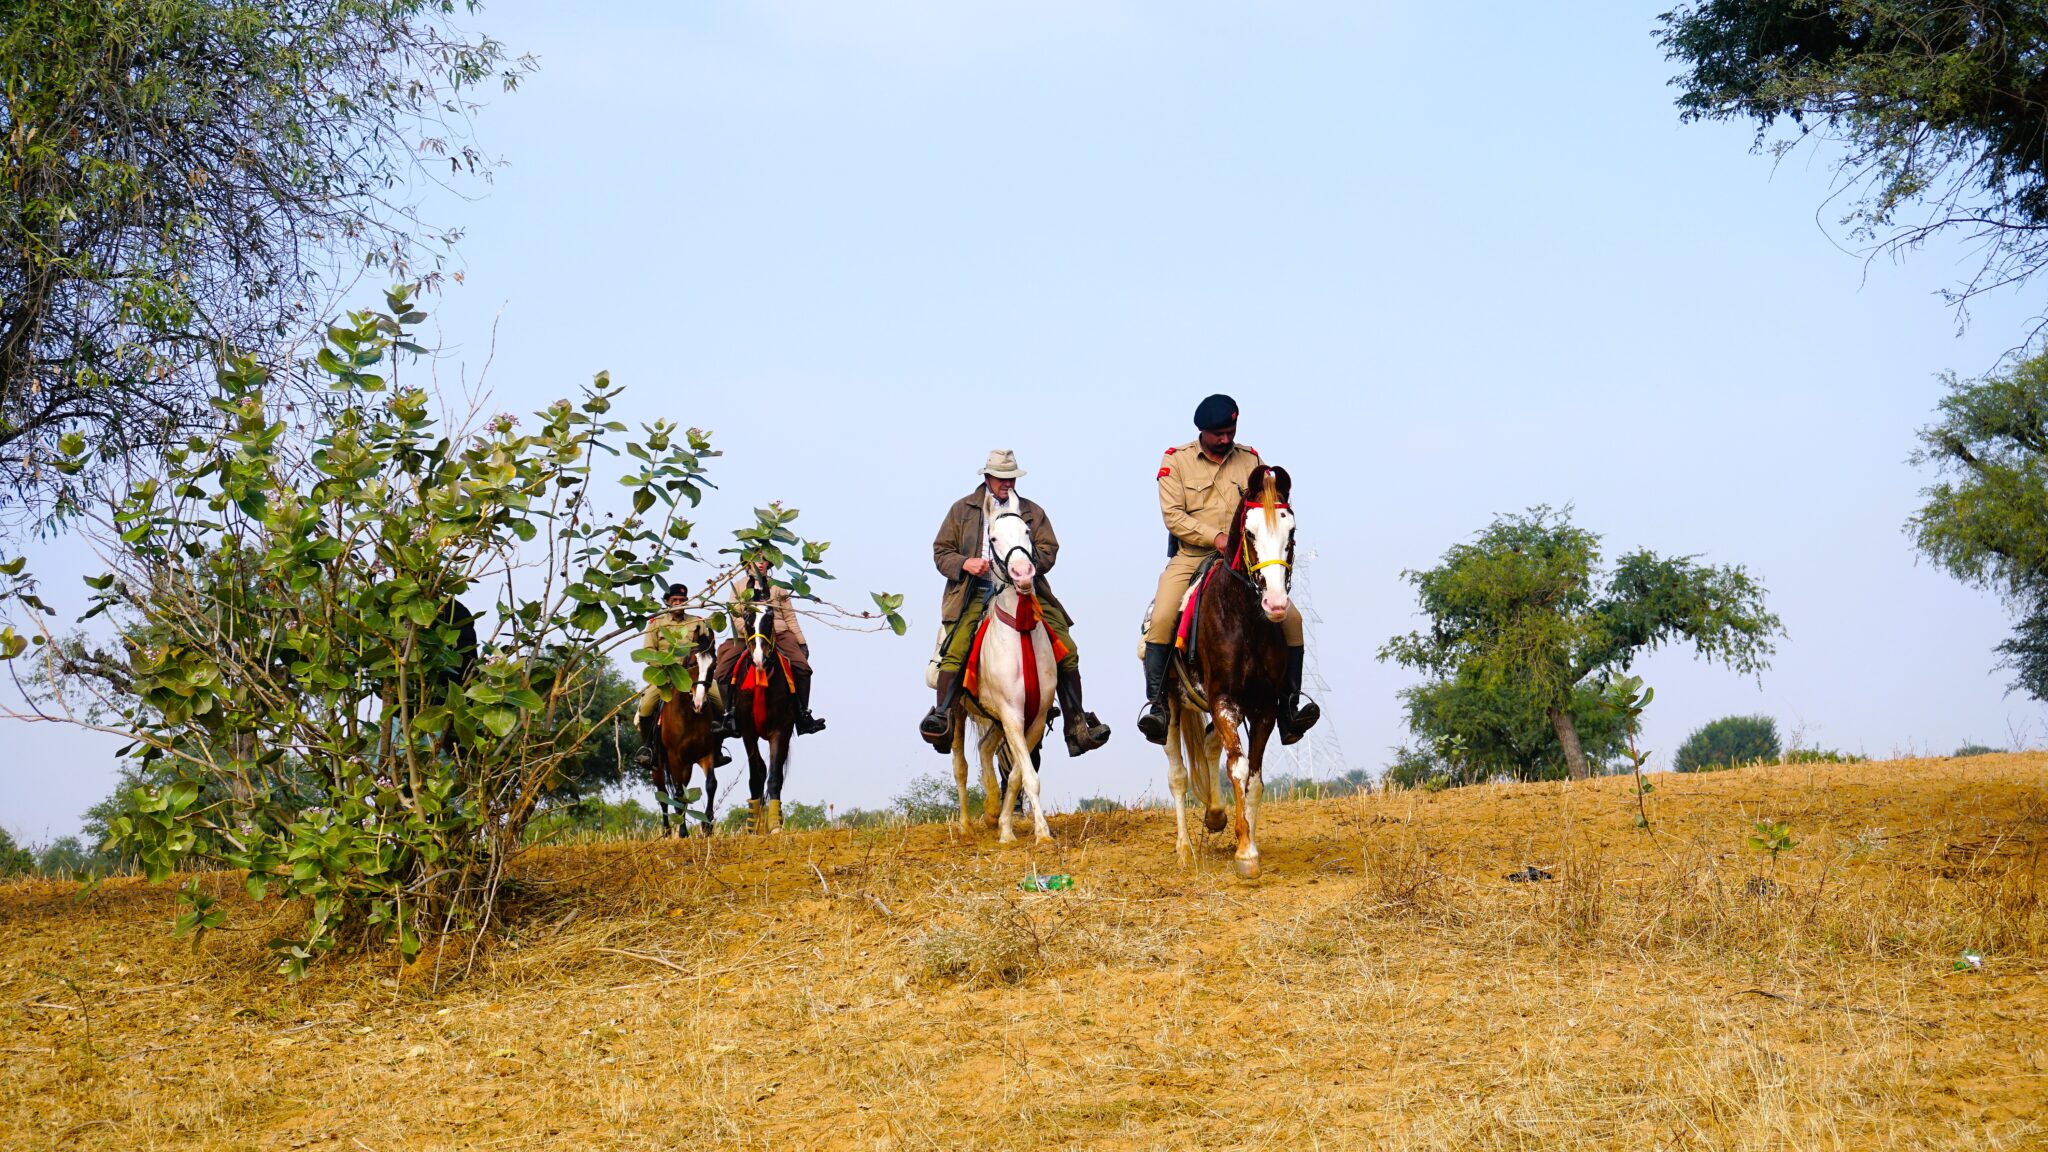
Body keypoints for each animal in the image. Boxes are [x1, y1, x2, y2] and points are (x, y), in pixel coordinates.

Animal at [652, 626, 722, 837]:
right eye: (691, 663)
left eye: (713, 665)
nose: (699, 704)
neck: (690, 715)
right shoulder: (674, 757)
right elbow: (678, 792)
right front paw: (682, 831)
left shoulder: (707, 753)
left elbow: (711, 784)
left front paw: (707, 825)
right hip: (658, 767)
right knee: (663, 794)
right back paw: (667, 831)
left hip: (687, 766)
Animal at [732, 596, 797, 834]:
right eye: (747, 621)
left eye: (769, 621)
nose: (760, 659)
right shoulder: (747, 731)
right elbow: (757, 773)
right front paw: (753, 825)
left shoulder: (781, 729)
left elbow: (774, 775)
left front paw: (775, 824)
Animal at [948, 502, 1058, 843]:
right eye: (993, 538)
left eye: (1027, 530)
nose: (1022, 574)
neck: (1020, 630)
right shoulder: (1011, 714)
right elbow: (1029, 776)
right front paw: (1043, 835)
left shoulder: (1033, 718)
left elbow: (1019, 775)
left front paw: (1007, 829)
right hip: (959, 712)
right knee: (960, 765)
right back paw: (966, 824)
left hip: (994, 718)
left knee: (985, 749)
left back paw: (992, 810)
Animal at [1162, 464, 1297, 877]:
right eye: (1249, 533)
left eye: (1291, 532)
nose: (1276, 603)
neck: (1245, 620)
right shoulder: (1224, 700)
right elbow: (1237, 768)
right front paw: (1245, 854)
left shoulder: (1264, 707)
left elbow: (1254, 777)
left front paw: (1246, 837)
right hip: (1172, 705)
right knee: (1177, 775)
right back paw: (1184, 849)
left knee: (1208, 746)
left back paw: (1217, 814)